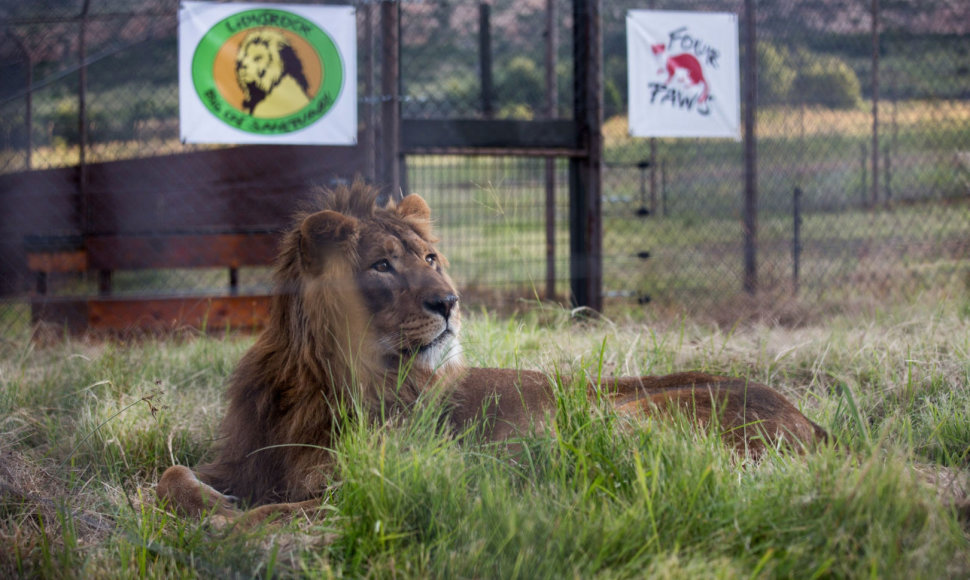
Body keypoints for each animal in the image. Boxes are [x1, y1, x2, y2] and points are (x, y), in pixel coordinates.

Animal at [157, 180, 824, 520]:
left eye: (430, 258)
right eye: (381, 266)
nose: (449, 302)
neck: (322, 377)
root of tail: (811, 422)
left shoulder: (376, 475)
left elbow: (278, 509)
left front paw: (228, 519)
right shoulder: (246, 455)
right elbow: (169, 475)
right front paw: (207, 499)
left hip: (621, 417)